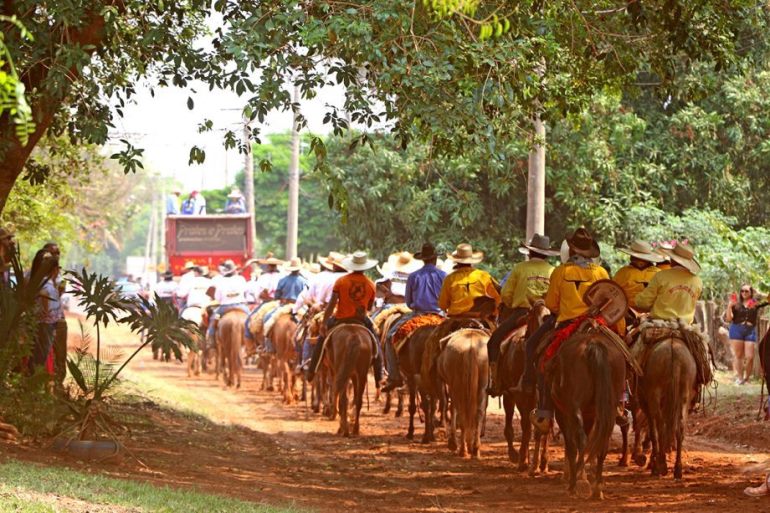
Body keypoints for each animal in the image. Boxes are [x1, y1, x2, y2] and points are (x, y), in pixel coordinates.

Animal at [436, 328, 488, 456]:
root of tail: (472, 347)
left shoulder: (452, 383)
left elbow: (453, 408)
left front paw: (452, 444)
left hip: (457, 378)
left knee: (461, 411)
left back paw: (462, 450)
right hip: (483, 372)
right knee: (478, 412)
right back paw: (475, 449)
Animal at [544, 326, 624, 498]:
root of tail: (593, 345)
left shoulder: (563, 413)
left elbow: (571, 445)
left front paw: (575, 480)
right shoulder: (590, 414)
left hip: (574, 407)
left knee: (580, 440)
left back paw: (578, 484)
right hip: (608, 409)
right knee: (602, 442)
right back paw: (597, 488)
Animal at [636, 338, 696, 478]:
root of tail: (673, 349)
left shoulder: (645, 402)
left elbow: (652, 432)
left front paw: (652, 462)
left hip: (655, 394)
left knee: (660, 427)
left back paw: (661, 465)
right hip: (684, 393)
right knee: (680, 427)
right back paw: (678, 468)